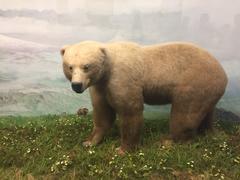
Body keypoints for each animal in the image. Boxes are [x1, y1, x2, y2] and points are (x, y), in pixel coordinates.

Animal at [60, 41, 227, 155]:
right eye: (70, 67)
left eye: (86, 66)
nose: (76, 85)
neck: (107, 69)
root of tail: (223, 73)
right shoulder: (100, 86)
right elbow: (103, 113)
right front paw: (89, 141)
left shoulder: (121, 78)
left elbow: (130, 111)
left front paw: (123, 149)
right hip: (207, 90)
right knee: (206, 113)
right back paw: (209, 131)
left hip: (194, 83)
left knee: (184, 115)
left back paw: (169, 141)